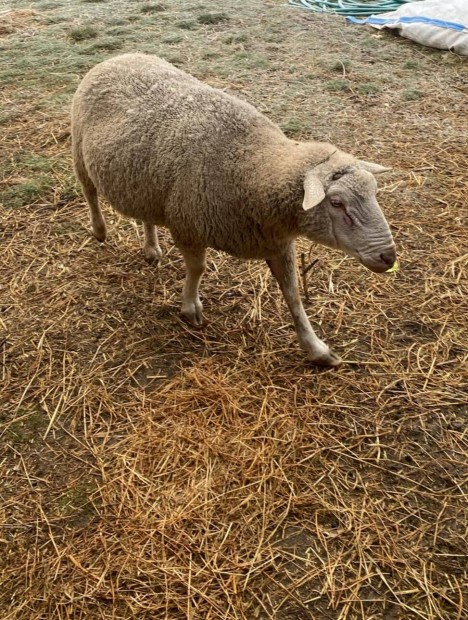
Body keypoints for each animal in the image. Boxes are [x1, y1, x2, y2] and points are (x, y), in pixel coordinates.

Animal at [71, 54, 396, 368]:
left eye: (373, 191)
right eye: (336, 203)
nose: (388, 257)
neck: (253, 166)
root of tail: (119, 56)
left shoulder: (277, 243)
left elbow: (293, 295)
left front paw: (317, 349)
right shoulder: (188, 226)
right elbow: (198, 269)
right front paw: (190, 308)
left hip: (143, 182)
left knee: (145, 214)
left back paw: (151, 249)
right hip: (80, 152)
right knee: (89, 193)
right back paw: (99, 230)